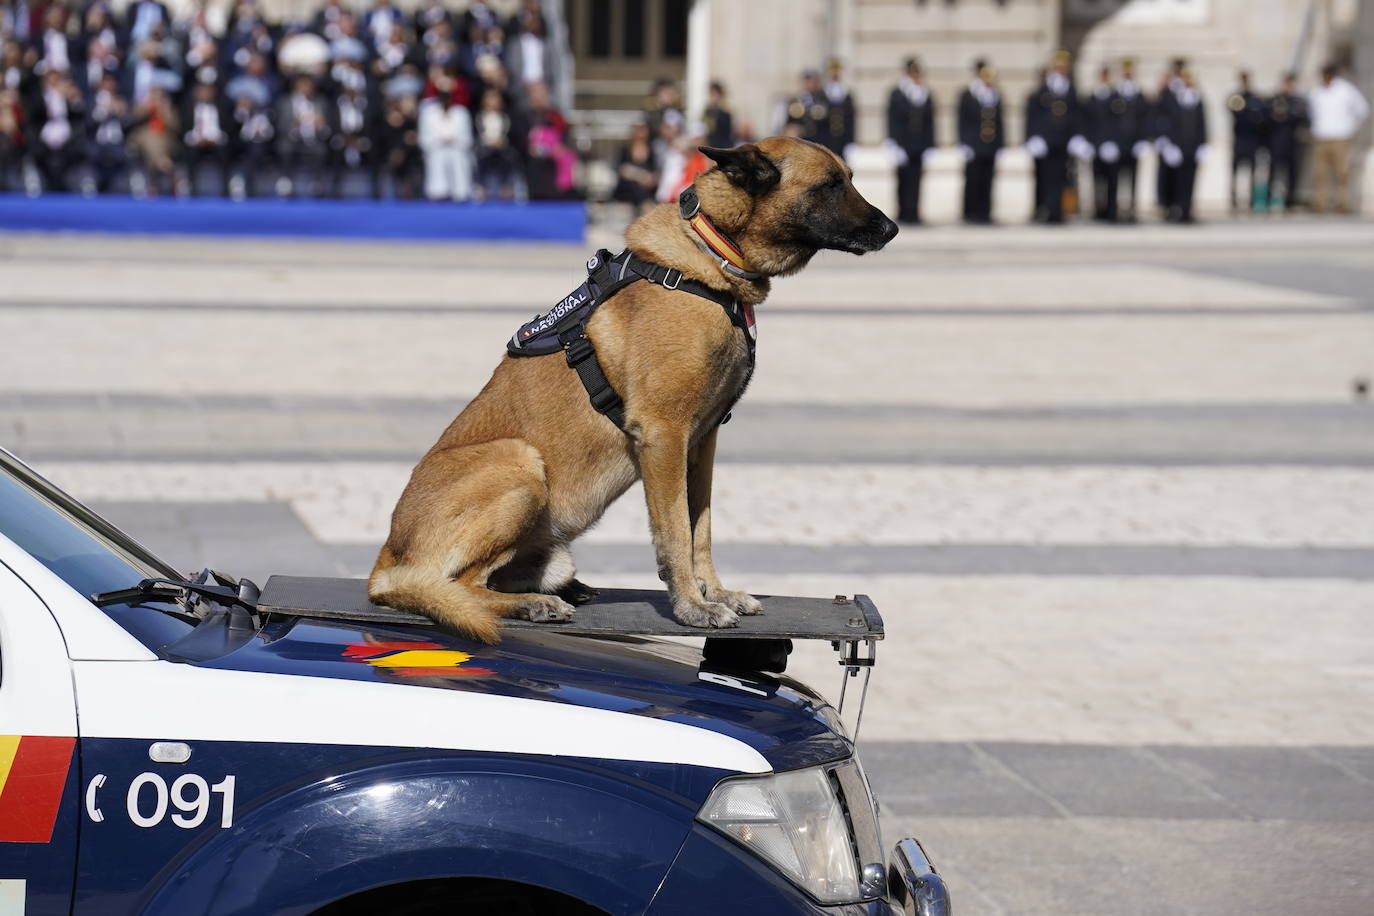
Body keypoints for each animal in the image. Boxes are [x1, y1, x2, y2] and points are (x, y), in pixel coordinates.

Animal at [370, 138, 895, 645]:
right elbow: (675, 532)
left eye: (849, 178)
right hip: (519, 462)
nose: (891, 229)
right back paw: (530, 605)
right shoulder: (664, 435)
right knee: (461, 584)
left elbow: (701, 527)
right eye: (830, 185)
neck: (710, 254)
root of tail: (385, 560)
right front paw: (692, 605)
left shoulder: (702, 442)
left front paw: (716, 592)